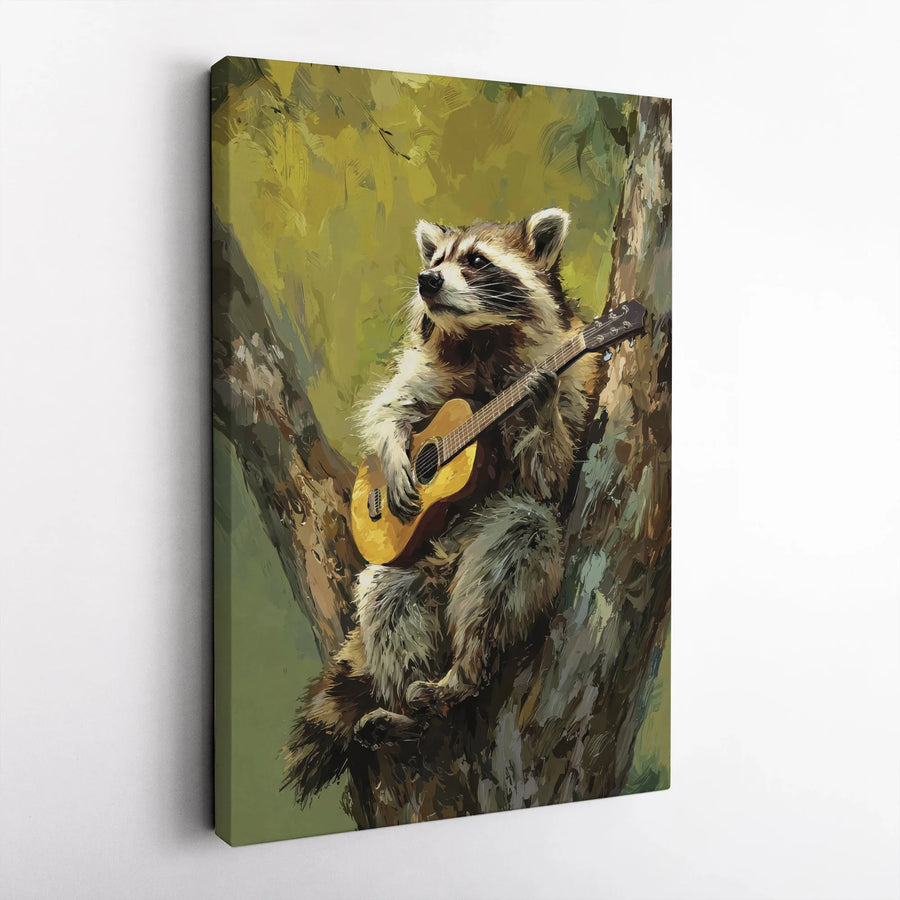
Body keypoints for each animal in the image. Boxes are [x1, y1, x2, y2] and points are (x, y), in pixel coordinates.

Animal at [283, 209, 591, 804]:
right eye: (437, 259)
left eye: (475, 260)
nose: (427, 281)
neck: (480, 339)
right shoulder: (426, 375)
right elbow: (389, 408)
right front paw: (393, 457)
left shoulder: (572, 384)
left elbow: (547, 481)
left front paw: (539, 405)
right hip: (414, 563)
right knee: (387, 597)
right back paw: (406, 707)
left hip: (488, 549)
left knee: (512, 549)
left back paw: (462, 673)